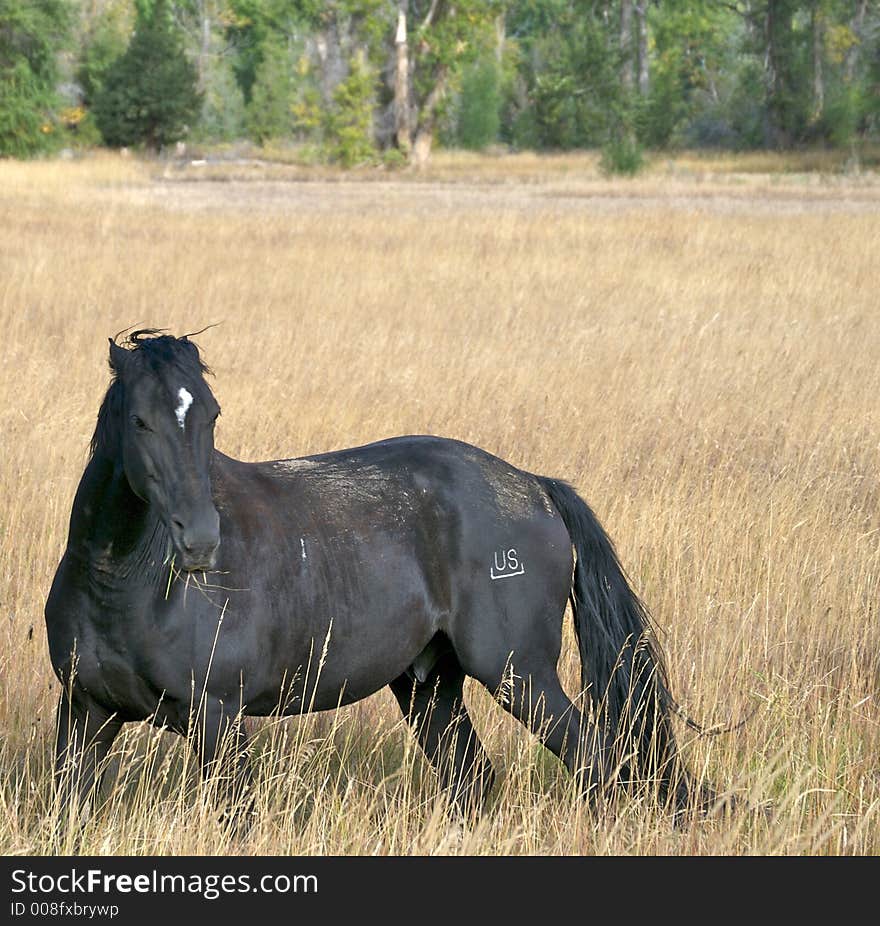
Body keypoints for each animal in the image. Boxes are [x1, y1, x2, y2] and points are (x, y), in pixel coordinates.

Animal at [46, 330, 708, 824]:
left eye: (210, 414)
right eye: (139, 420)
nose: (202, 539)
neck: (123, 583)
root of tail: (536, 487)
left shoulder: (216, 721)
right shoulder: (83, 715)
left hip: (521, 675)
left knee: (596, 761)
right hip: (430, 689)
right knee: (476, 782)